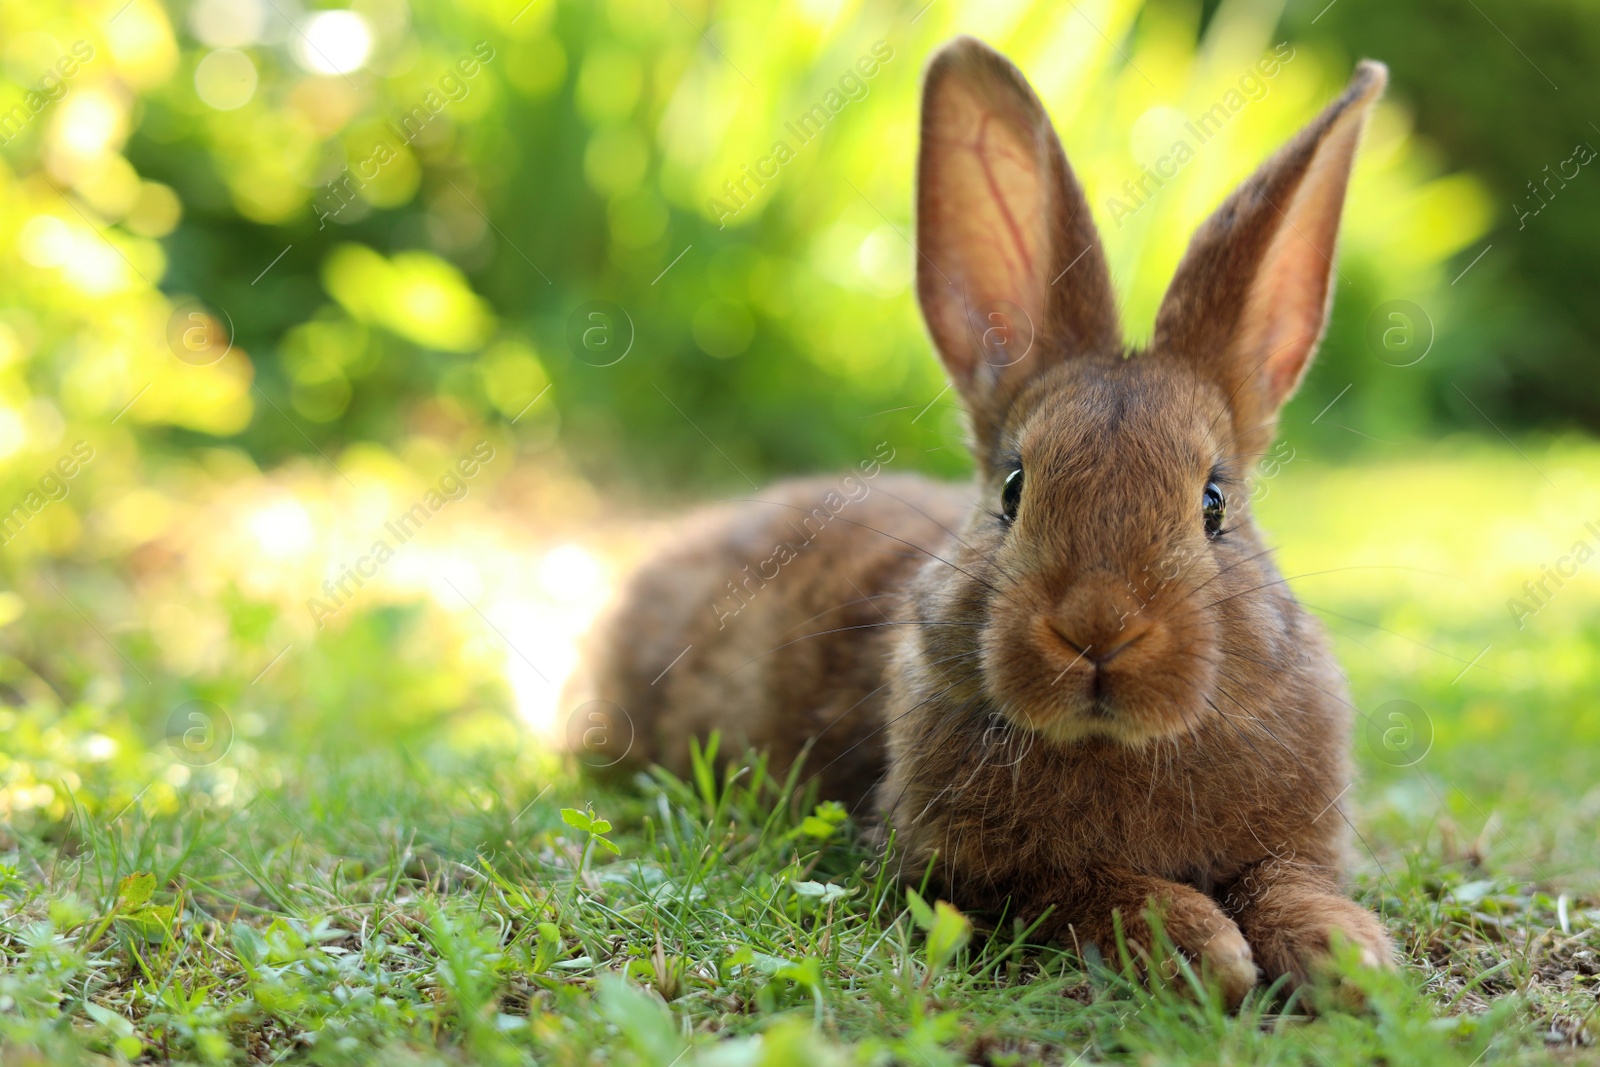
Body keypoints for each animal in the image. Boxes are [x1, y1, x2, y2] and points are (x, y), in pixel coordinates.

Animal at [582, 33, 1395, 1004]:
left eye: (1214, 504)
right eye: (1013, 489)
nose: (1097, 629)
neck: (1117, 743)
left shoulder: (1293, 842)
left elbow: (1287, 880)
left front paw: (1349, 953)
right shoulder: (976, 874)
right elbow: (1094, 888)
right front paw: (1205, 949)